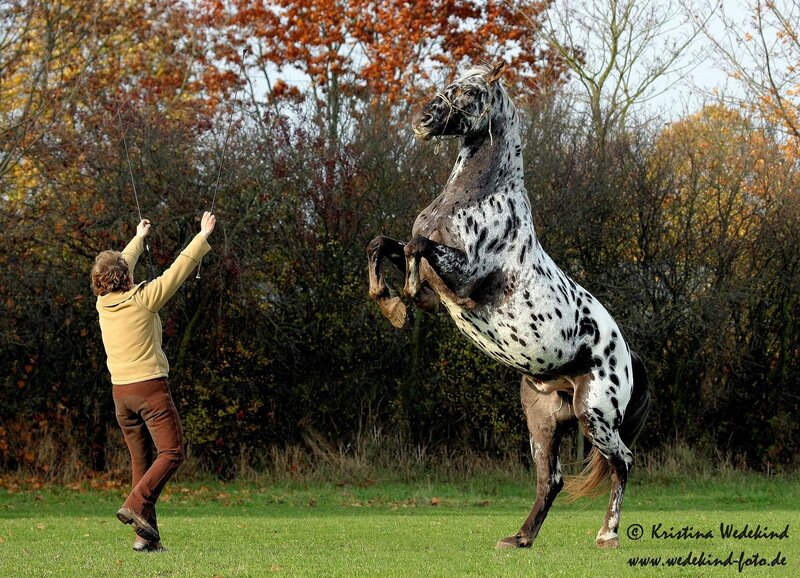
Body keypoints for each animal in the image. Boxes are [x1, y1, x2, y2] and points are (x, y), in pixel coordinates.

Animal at [367, 61, 651, 549]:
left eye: (468, 92)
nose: (423, 118)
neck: (476, 197)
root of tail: (625, 353)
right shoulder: (434, 284)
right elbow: (384, 244)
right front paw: (390, 304)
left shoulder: (463, 280)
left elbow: (416, 247)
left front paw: (401, 297)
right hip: (543, 420)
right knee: (550, 480)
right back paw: (519, 539)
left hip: (595, 415)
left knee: (624, 462)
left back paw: (607, 534)